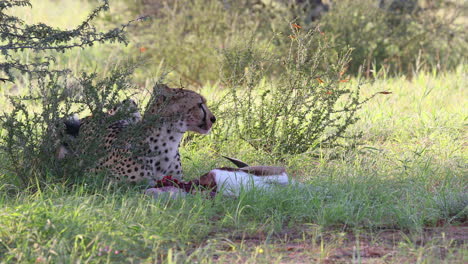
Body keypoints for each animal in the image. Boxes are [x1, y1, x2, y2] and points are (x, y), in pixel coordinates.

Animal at [61, 84, 217, 184]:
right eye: (200, 104)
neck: (170, 139)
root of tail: (90, 116)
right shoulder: (103, 178)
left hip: (129, 102)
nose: (213, 119)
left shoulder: (179, 180)